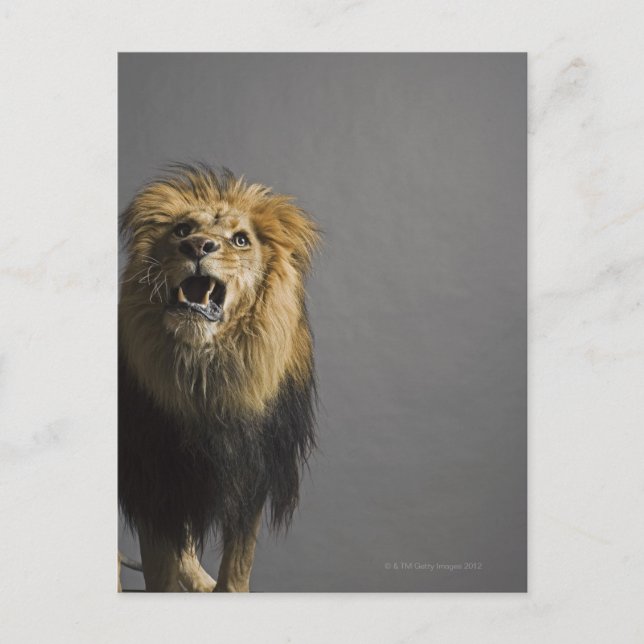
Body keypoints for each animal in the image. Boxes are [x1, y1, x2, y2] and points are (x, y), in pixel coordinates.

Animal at [118, 163, 319, 592]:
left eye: (241, 240)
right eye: (182, 230)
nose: (197, 247)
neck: (206, 375)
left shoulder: (250, 473)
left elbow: (238, 565)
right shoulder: (151, 477)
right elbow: (160, 570)